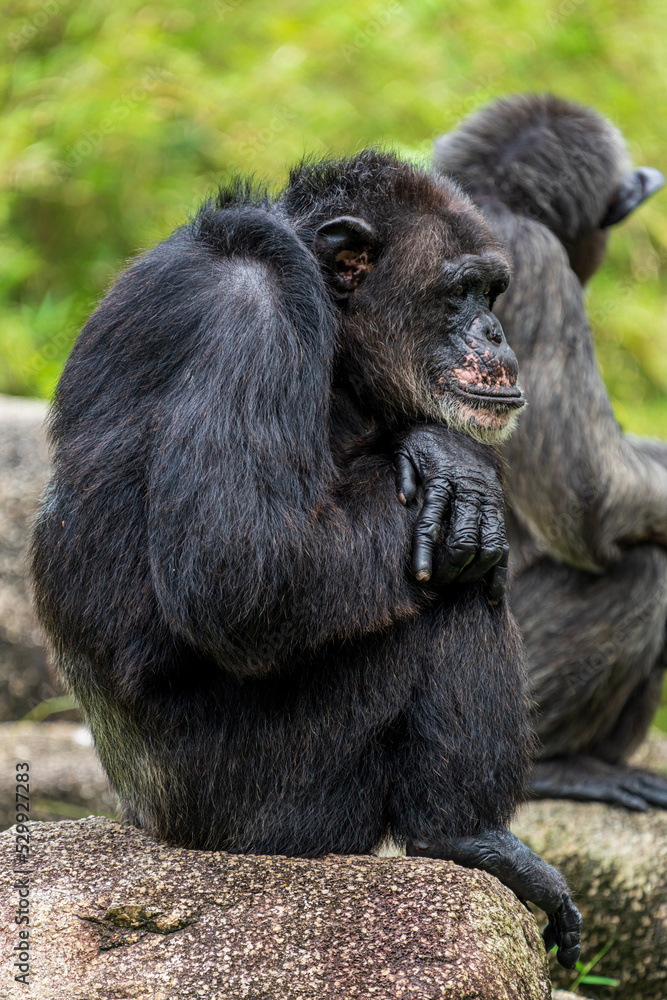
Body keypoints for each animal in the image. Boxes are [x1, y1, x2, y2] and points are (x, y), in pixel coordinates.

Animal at [31, 152, 580, 964]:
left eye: (492, 291)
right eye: (458, 291)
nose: (495, 330)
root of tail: (153, 825)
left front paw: (431, 448)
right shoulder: (251, 321)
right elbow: (243, 564)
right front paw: (459, 465)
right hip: (274, 805)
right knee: (453, 586)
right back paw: (467, 836)